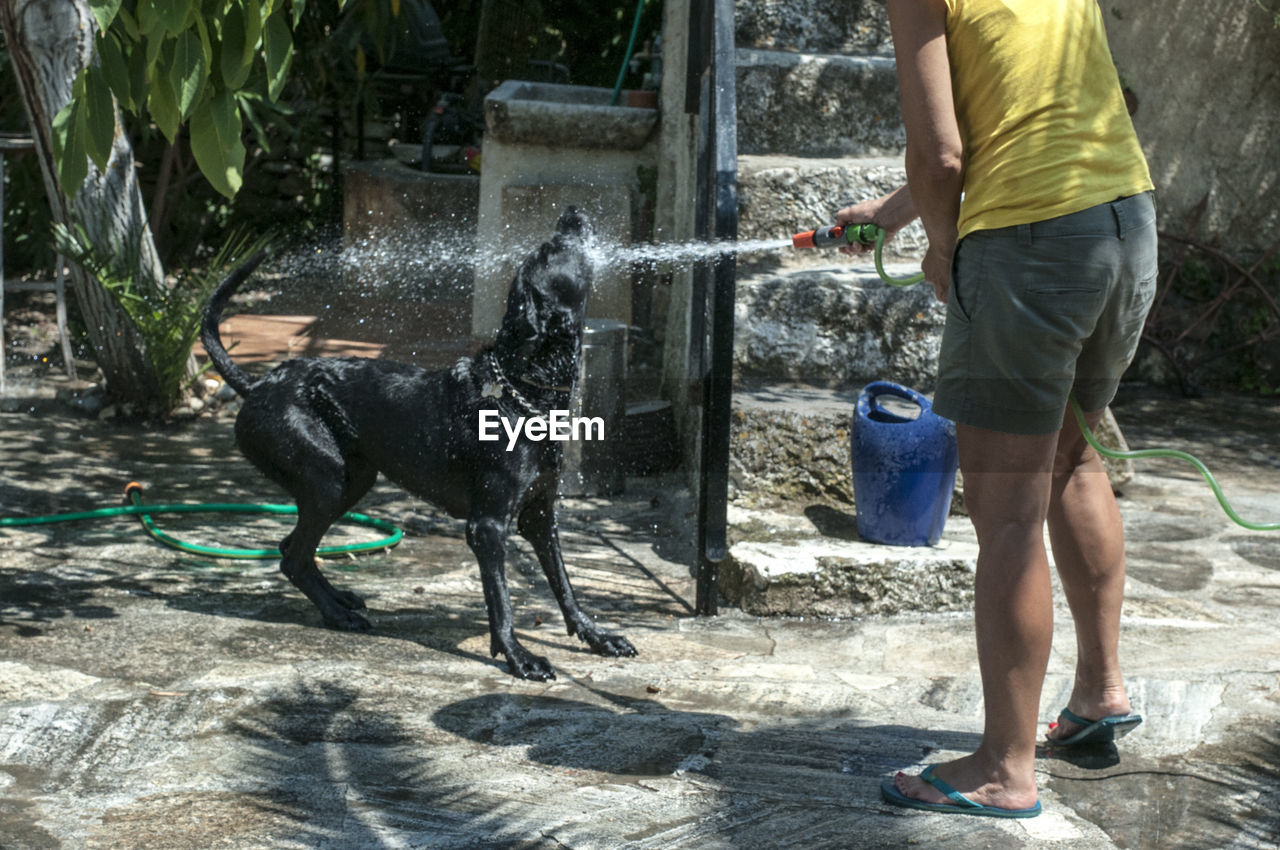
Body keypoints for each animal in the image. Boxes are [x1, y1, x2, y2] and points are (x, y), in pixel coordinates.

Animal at [199, 208, 634, 681]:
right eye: (549, 250)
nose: (572, 212)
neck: (522, 389)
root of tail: (258, 384)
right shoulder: (487, 527)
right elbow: (501, 601)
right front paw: (519, 656)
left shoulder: (540, 517)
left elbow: (565, 588)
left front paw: (597, 637)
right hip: (328, 480)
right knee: (293, 556)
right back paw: (339, 616)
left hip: (354, 478)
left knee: (293, 549)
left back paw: (340, 600)